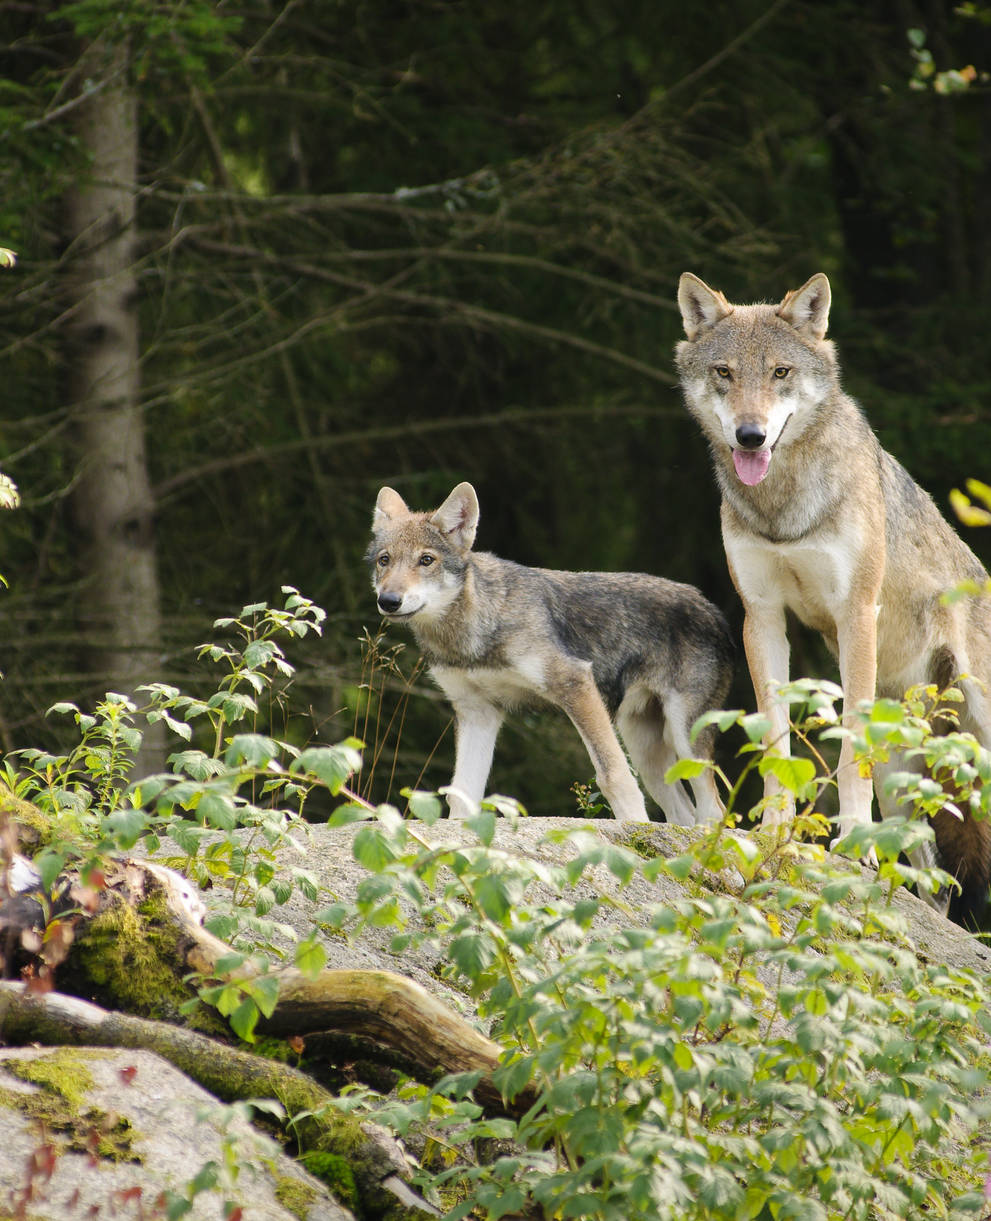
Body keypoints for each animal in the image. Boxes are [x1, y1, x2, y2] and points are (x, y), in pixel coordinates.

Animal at [368, 481, 732, 825]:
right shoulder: (477, 711)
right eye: (384, 561)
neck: (472, 635)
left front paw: (632, 832)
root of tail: (713, 608)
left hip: (683, 736)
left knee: (713, 809)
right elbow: (462, 793)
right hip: (646, 750)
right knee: (683, 814)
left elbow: (613, 777)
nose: (389, 601)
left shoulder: (575, 683)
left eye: (426, 560)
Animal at [673, 269, 991, 918]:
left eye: (779, 372)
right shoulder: (762, 619)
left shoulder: (855, 615)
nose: (750, 435)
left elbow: (847, 754)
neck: (785, 506)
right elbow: (774, 742)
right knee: (933, 873)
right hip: (906, 771)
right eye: (725, 373)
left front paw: (854, 845)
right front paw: (774, 833)